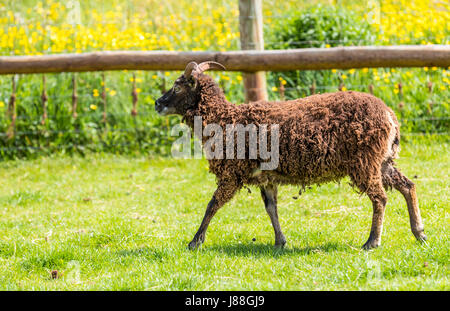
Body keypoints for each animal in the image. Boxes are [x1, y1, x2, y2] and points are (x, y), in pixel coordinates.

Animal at [155, 61, 426, 251]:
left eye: (177, 86)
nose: (157, 103)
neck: (224, 119)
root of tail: (389, 115)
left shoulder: (232, 173)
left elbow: (212, 205)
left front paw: (195, 241)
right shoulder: (265, 177)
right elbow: (271, 209)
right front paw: (280, 241)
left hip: (365, 162)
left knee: (380, 198)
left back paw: (372, 242)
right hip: (383, 161)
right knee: (407, 186)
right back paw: (419, 233)